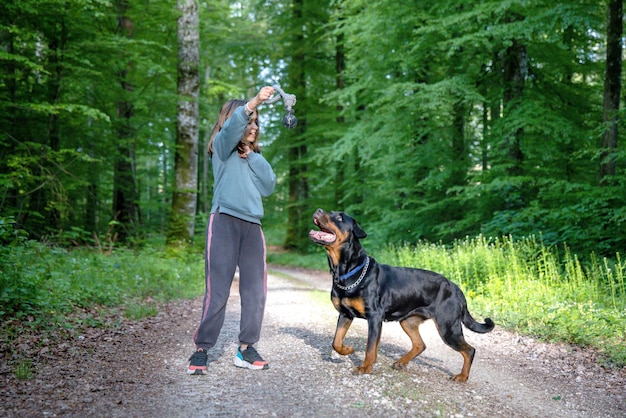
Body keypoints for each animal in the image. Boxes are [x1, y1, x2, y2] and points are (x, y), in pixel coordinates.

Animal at [308, 209, 492, 382]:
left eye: (339, 217)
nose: (318, 210)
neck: (347, 271)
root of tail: (456, 288)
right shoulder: (345, 314)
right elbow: (336, 341)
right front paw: (348, 350)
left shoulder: (374, 317)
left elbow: (370, 347)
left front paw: (365, 367)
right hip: (408, 321)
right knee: (420, 345)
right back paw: (401, 362)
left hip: (448, 327)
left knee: (469, 350)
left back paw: (462, 376)